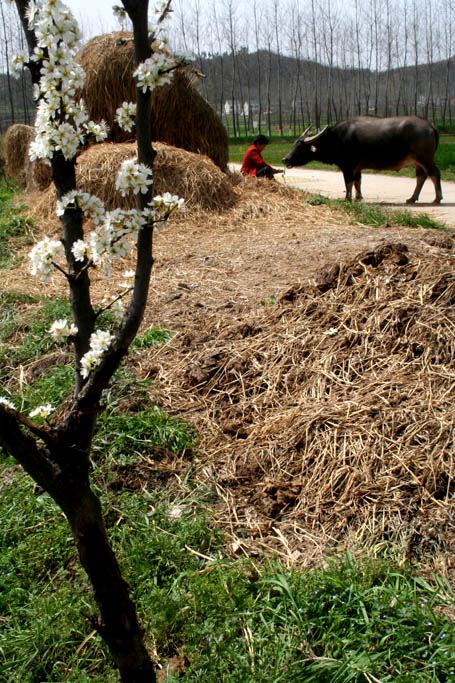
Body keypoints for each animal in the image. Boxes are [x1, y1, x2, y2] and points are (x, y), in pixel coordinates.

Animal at [284, 115, 444, 204]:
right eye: (293, 144)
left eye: (300, 147)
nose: (285, 159)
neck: (336, 138)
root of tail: (430, 126)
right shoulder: (357, 167)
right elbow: (358, 182)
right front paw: (358, 197)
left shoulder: (348, 166)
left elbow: (348, 182)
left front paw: (347, 199)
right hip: (417, 161)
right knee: (421, 176)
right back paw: (412, 198)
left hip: (425, 158)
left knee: (434, 173)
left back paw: (437, 198)